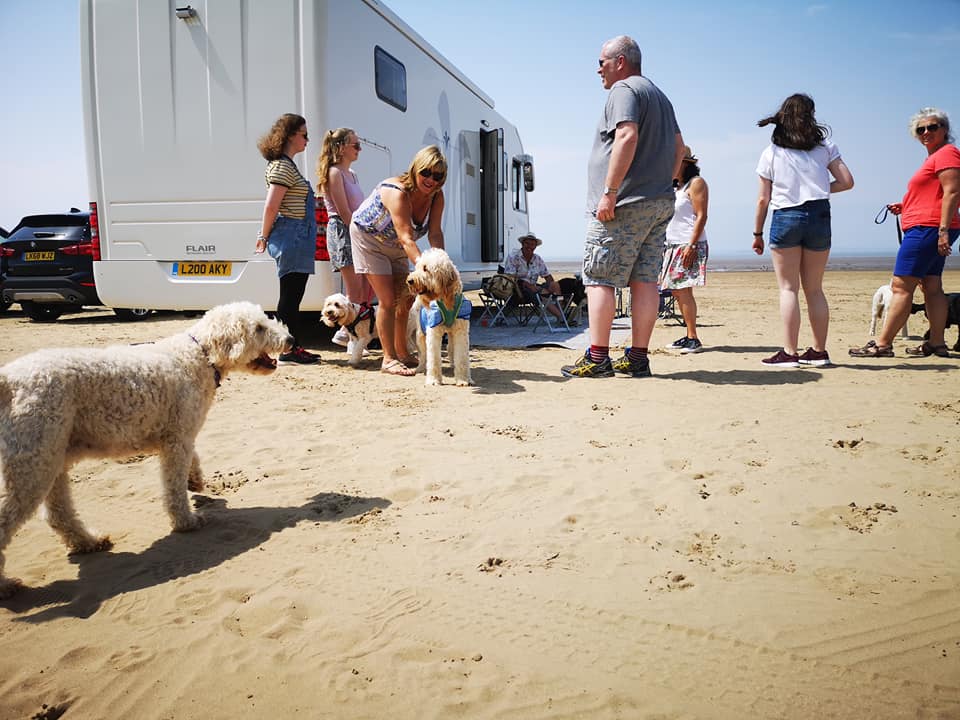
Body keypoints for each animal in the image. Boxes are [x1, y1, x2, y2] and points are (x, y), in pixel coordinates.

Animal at [0, 300, 292, 600]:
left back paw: (89, 541)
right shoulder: (177, 439)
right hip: (32, 462)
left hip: (50, 456)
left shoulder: (180, 434)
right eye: (259, 328)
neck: (198, 356)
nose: (291, 340)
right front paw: (186, 520)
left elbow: (194, 456)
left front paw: (195, 480)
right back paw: (7, 584)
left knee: (58, 513)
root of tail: (8, 380)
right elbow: (174, 488)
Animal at [404, 248, 472, 386]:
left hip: (450, 334)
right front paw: (433, 380)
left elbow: (462, 357)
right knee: (423, 355)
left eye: (425, 268)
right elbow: (433, 358)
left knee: (450, 348)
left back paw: (452, 364)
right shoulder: (433, 332)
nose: (409, 280)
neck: (446, 300)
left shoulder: (460, 332)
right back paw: (420, 368)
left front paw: (463, 379)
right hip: (420, 334)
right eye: (418, 267)